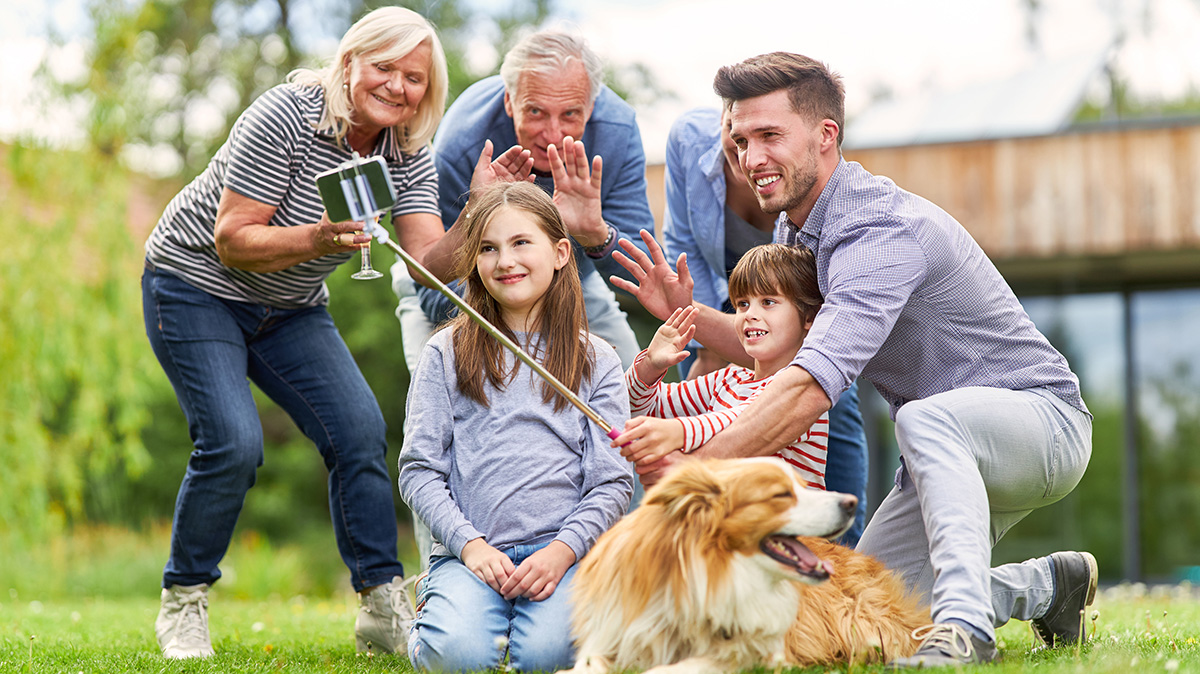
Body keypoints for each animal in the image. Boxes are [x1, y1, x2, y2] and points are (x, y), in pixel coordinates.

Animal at [561, 455, 926, 671]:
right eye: (782, 494)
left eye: (802, 487)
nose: (850, 502)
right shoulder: (613, 634)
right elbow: (588, 664)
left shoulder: (756, 655)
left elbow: (679, 667)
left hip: (859, 618)